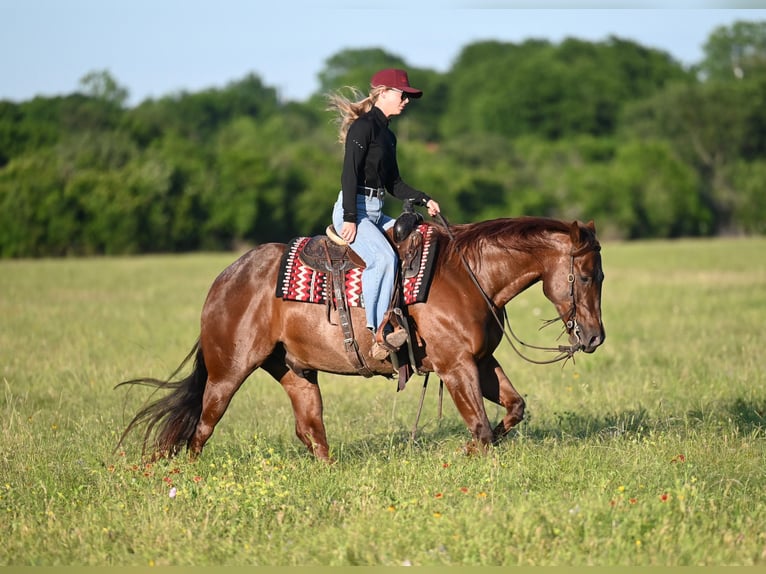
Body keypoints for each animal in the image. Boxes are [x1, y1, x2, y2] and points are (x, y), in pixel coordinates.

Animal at [116, 216, 605, 462]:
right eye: (585, 275)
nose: (595, 338)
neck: (467, 275)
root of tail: (225, 278)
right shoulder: (455, 366)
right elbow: (482, 429)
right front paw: (468, 452)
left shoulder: (481, 362)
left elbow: (514, 409)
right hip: (227, 372)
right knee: (201, 427)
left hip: (295, 371)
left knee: (310, 429)